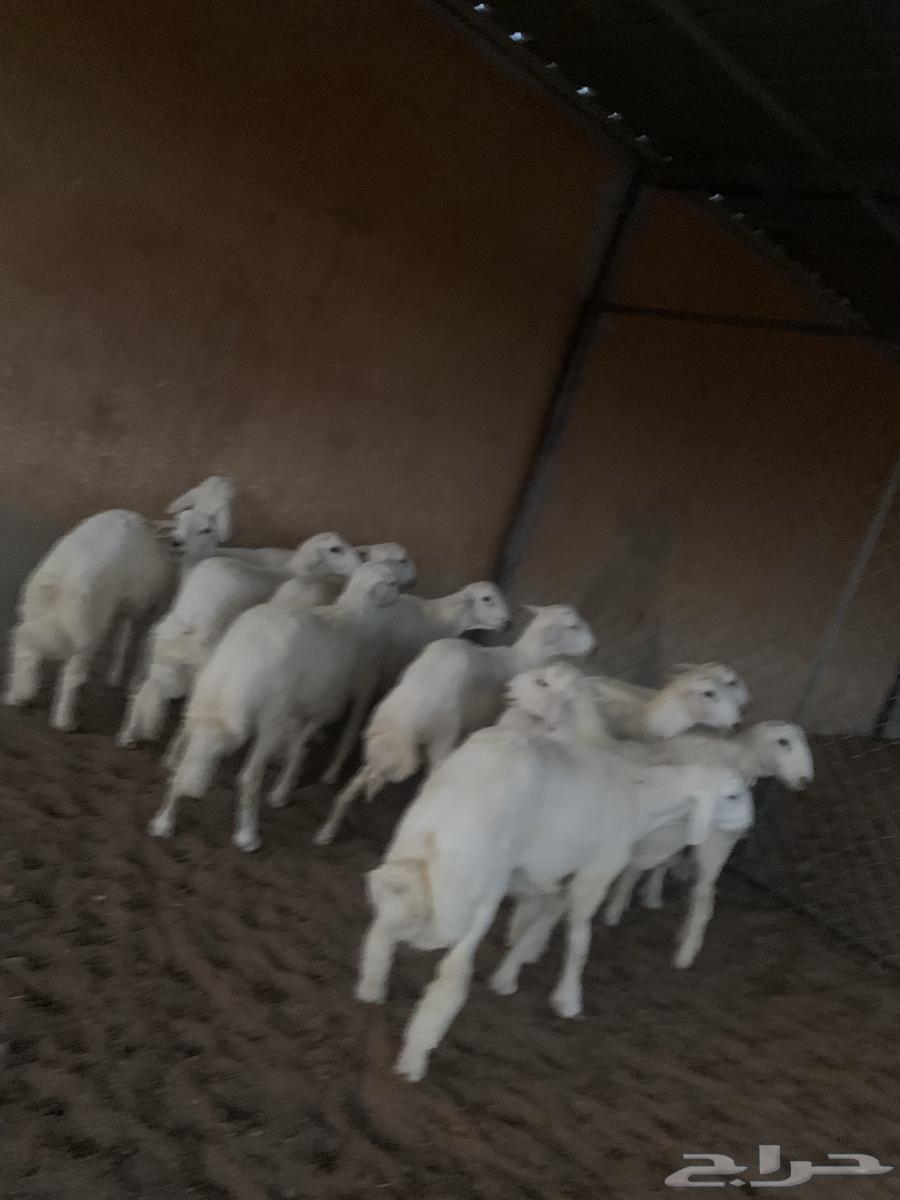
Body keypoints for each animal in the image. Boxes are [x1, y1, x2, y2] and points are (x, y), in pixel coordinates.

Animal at [4, 495, 230, 732]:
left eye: (206, 529)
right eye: (180, 522)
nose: (177, 543)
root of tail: (60, 582)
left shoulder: (125, 603)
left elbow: (122, 637)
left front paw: (114, 676)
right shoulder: (152, 607)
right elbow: (140, 642)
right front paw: (132, 679)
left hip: (36, 613)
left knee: (24, 648)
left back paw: (18, 695)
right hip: (87, 626)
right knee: (72, 674)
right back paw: (65, 721)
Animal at [117, 533, 361, 748]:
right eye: (335, 549)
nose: (360, 563)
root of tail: (193, 608)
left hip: (171, 643)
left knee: (149, 685)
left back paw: (129, 735)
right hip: (203, 651)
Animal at [148, 561, 400, 853]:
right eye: (391, 582)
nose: (401, 594)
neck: (350, 616)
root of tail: (238, 663)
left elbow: (298, 743)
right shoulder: (319, 705)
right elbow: (296, 747)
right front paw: (280, 793)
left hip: (203, 698)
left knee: (184, 760)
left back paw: (163, 822)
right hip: (272, 715)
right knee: (249, 776)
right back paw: (247, 834)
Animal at [313, 604, 595, 846]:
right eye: (573, 625)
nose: (595, 646)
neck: (524, 659)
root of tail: (411, 711)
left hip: (382, 739)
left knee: (354, 784)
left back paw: (327, 831)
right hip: (442, 737)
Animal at [317, 580, 510, 789]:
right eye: (486, 598)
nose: (509, 623)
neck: (440, 618)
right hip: (364, 676)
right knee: (349, 727)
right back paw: (332, 771)